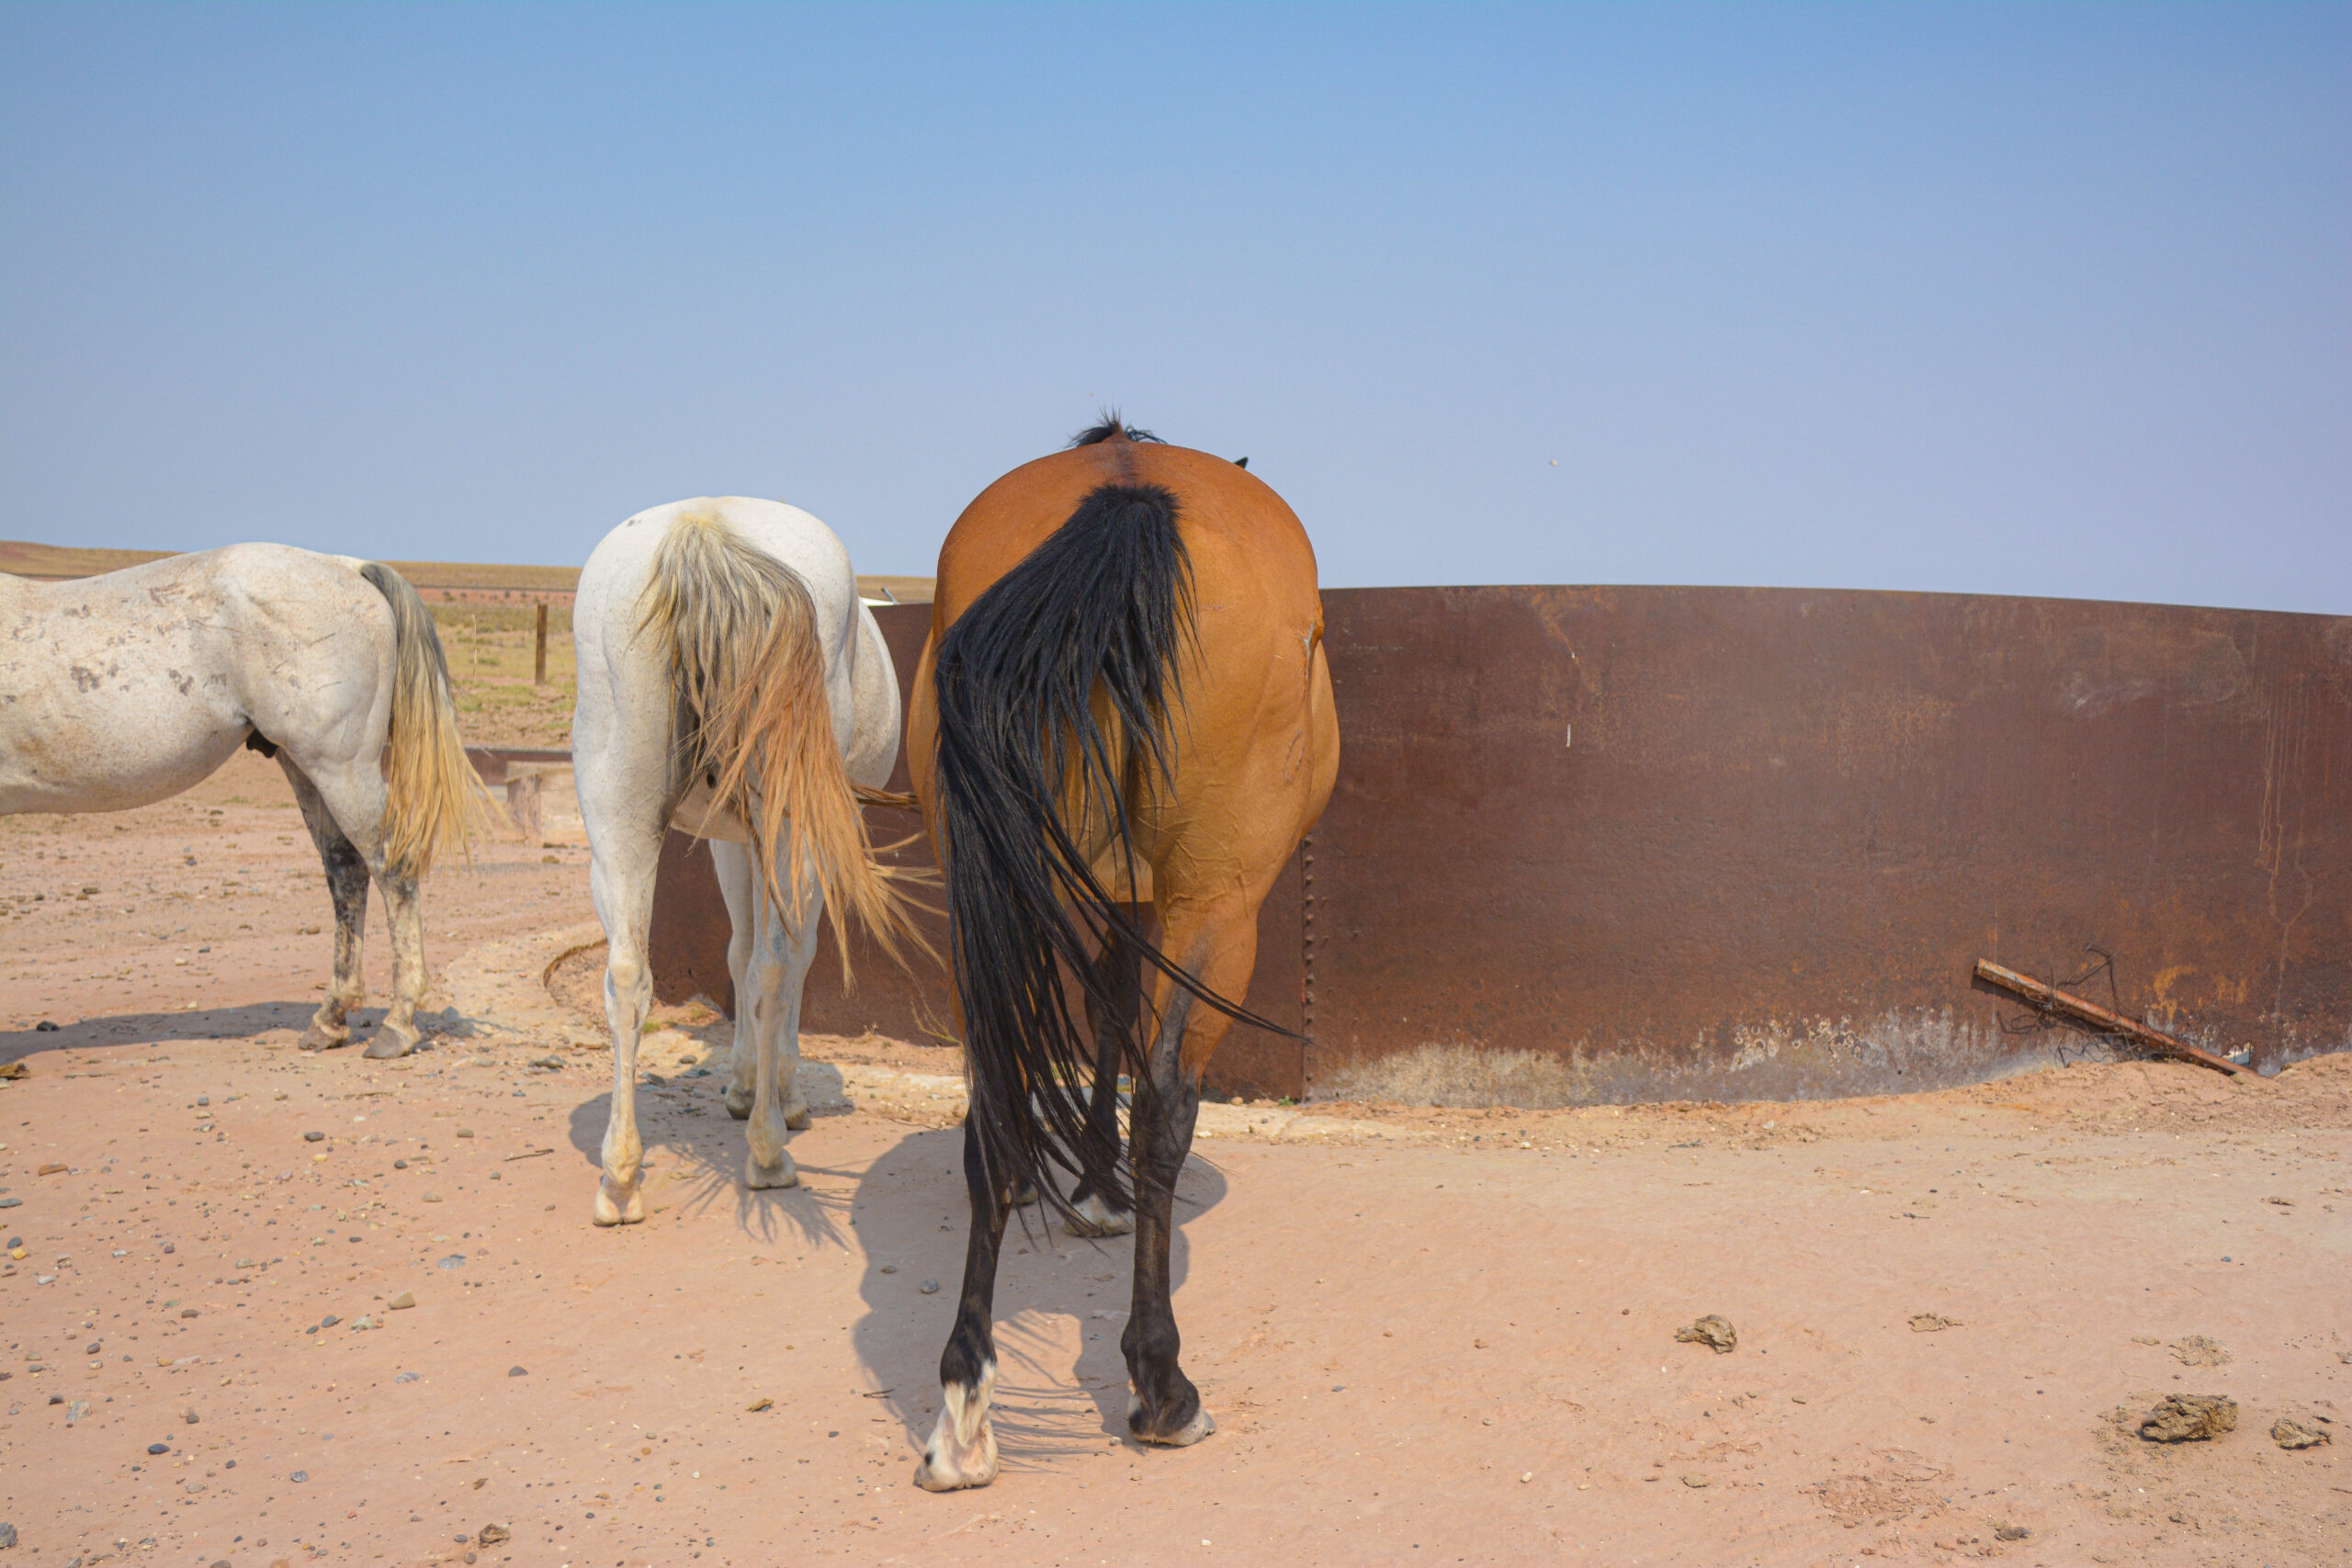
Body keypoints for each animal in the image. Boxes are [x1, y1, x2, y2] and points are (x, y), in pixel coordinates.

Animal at [0, 544, 490, 1057]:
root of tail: (347, 566)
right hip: (307, 770)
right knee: (346, 873)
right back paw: (330, 1019)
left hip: (343, 769)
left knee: (391, 869)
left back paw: (397, 1025)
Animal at [571, 498, 917, 1226]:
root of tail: (705, 530)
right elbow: (790, 957)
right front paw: (777, 1090)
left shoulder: (731, 839)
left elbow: (734, 949)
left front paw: (742, 1080)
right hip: (789, 829)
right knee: (775, 966)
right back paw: (768, 1150)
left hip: (618, 823)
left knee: (627, 975)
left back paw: (621, 1176)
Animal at [908, 416, 1340, 1491]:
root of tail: (1128, 490)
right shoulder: (1157, 900)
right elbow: (1120, 1021)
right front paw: (1101, 1188)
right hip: (1220, 911)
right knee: (1165, 1109)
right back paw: (1162, 1388)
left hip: (984, 901)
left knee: (994, 1109)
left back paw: (961, 1409)